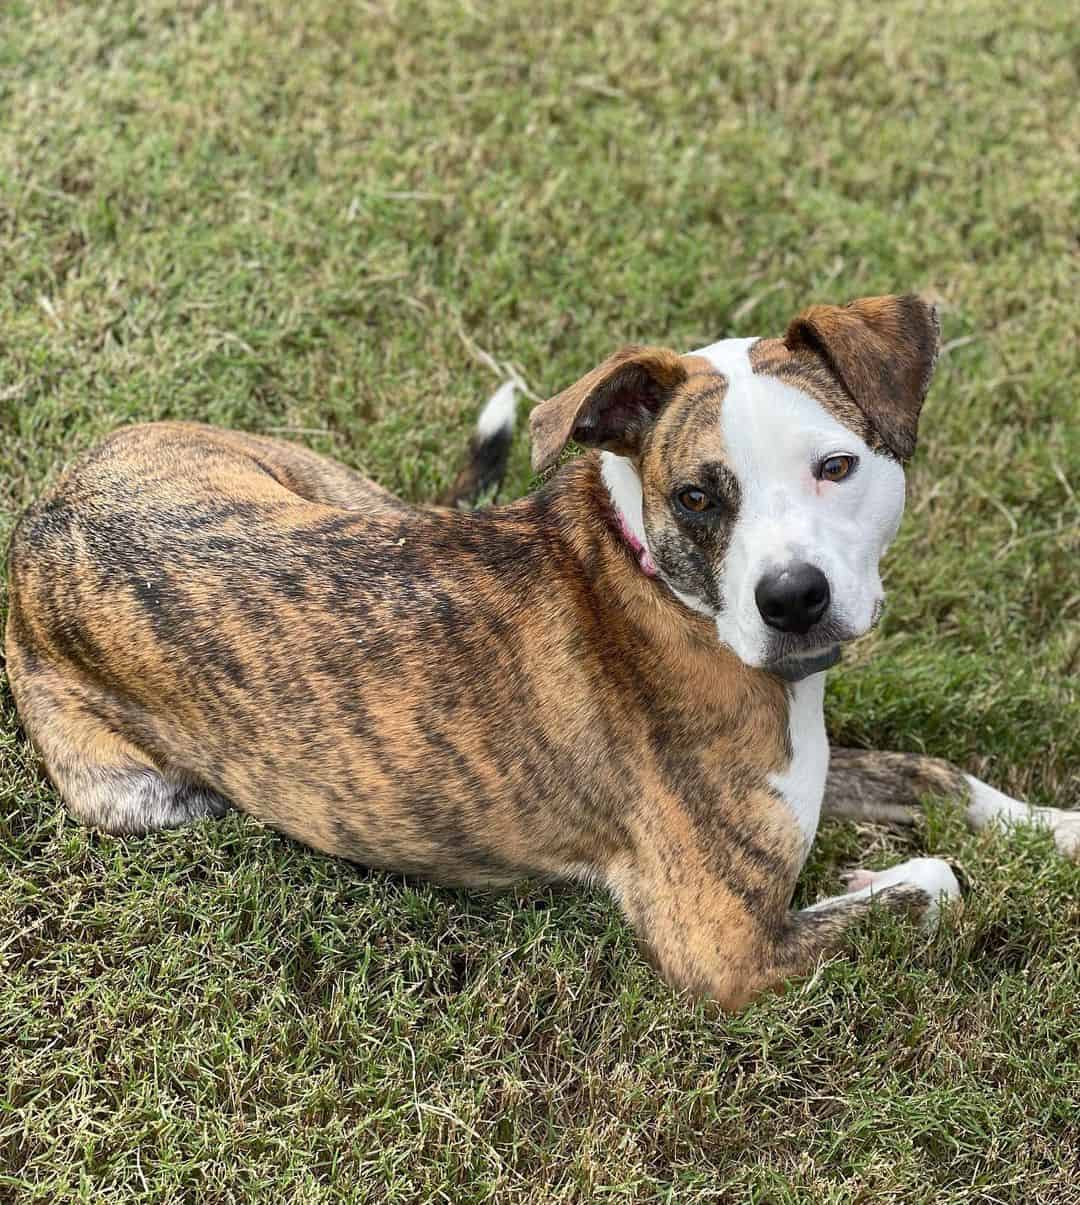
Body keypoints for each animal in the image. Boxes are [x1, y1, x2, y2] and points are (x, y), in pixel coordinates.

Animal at [8, 294, 1080, 1007]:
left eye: (837, 466)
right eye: (697, 495)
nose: (792, 598)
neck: (661, 585)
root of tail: (43, 515)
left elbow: (942, 777)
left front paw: (1057, 826)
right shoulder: (726, 947)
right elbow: (939, 880)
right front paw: (890, 877)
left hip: (336, 491)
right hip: (143, 802)